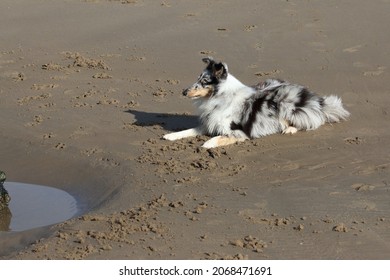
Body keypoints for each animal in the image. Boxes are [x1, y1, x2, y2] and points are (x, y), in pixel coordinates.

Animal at [162, 57, 350, 149]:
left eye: (204, 81)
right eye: (198, 78)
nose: (183, 91)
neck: (220, 97)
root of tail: (316, 99)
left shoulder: (238, 132)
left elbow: (218, 137)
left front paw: (206, 144)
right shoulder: (209, 123)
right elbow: (189, 130)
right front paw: (171, 136)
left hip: (285, 103)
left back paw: (289, 129)